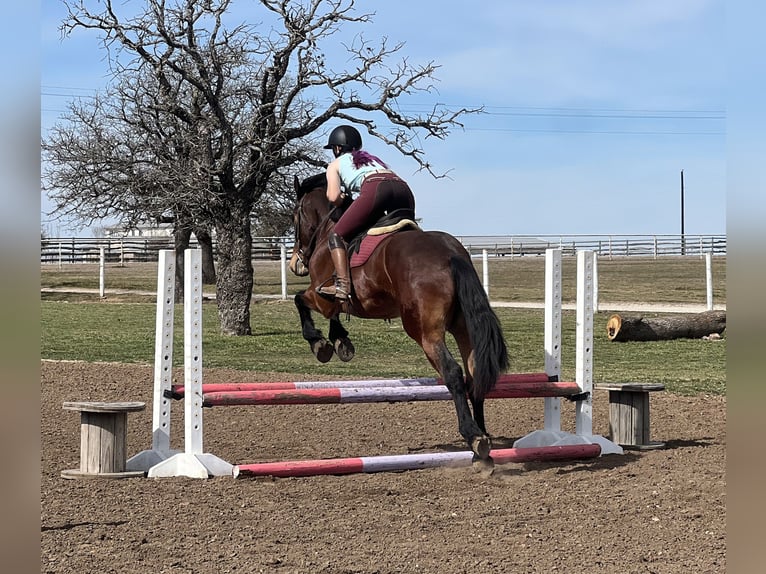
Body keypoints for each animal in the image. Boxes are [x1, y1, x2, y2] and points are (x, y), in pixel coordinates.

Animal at [288, 174, 510, 468]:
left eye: (295, 215)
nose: (295, 263)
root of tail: (451, 253)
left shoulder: (321, 296)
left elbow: (300, 300)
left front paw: (320, 343)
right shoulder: (330, 300)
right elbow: (332, 311)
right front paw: (340, 340)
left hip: (424, 331)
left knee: (453, 373)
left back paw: (473, 436)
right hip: (462, 327)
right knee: (474, 375)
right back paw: (481, 446)